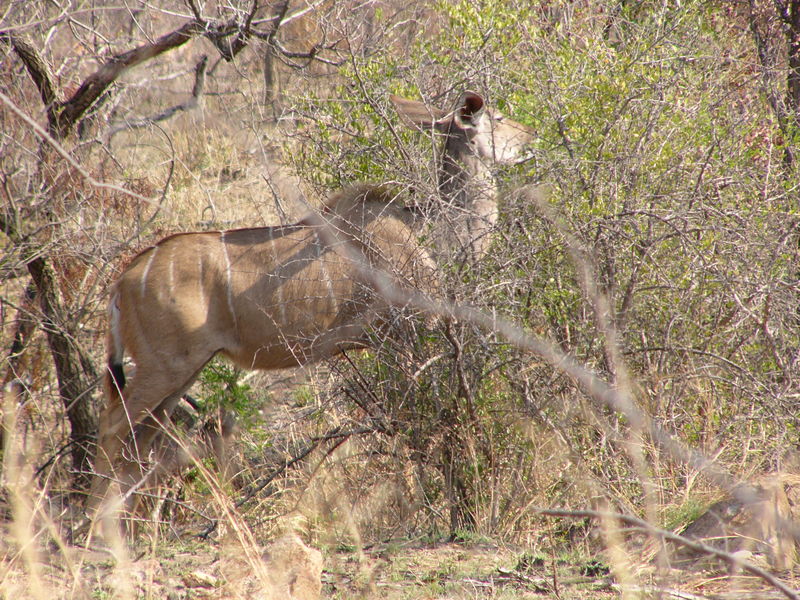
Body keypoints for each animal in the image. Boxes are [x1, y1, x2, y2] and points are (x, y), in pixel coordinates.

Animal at [87, 89, 532, 528]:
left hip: (182, 374)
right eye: (498, 117)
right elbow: (412, 420)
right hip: (164, 368)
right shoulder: (403, 340)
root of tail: (123, 281)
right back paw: (95, 525)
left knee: (141, 438)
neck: (428, 229)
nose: (531, 137)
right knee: (112, 427)